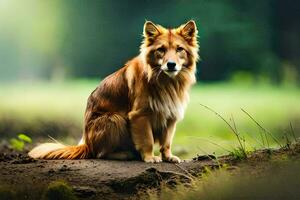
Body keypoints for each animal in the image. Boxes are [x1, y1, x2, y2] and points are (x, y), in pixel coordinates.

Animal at [29, 19, 199, 162]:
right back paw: (124, 154)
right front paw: (150, 157)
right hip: (115, 119)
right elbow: (148, 140)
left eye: (179, 49)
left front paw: (168, 157)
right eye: (161, 50)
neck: (165, 81)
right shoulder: (140, 115)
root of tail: (85, 144)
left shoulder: (171, 115)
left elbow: (167, 142)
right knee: (99, 154)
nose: (171, 64)